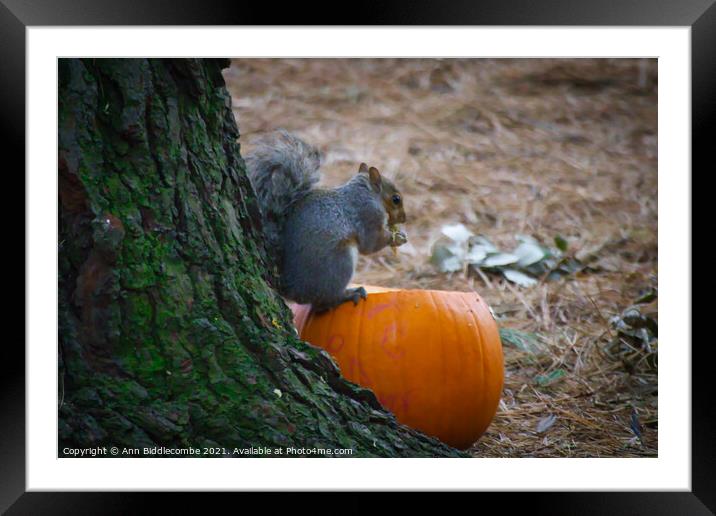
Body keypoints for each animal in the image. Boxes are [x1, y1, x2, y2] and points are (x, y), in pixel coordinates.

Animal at [246, 131, 406, 312]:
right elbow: (371, 244)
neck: (367, 193)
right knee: (327, 299)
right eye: (396, 199)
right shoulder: (368, 215)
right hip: (340, 262)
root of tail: (292, 288)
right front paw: (397, 238)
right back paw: (349, 293)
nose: (404, 218)